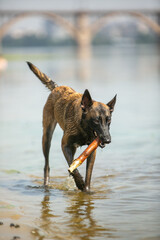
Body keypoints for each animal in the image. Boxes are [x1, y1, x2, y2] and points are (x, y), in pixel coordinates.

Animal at [26, 61, 115, 191]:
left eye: (109, 120)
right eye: (96, 121)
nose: (107, 140)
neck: (83, 128)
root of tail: (57, 87)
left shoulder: (91, 152)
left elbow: (88, 174)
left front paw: (86, 190)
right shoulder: (65, 145)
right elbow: (73, 167)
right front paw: (79, 183)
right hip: (47, 137)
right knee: (46, 165)